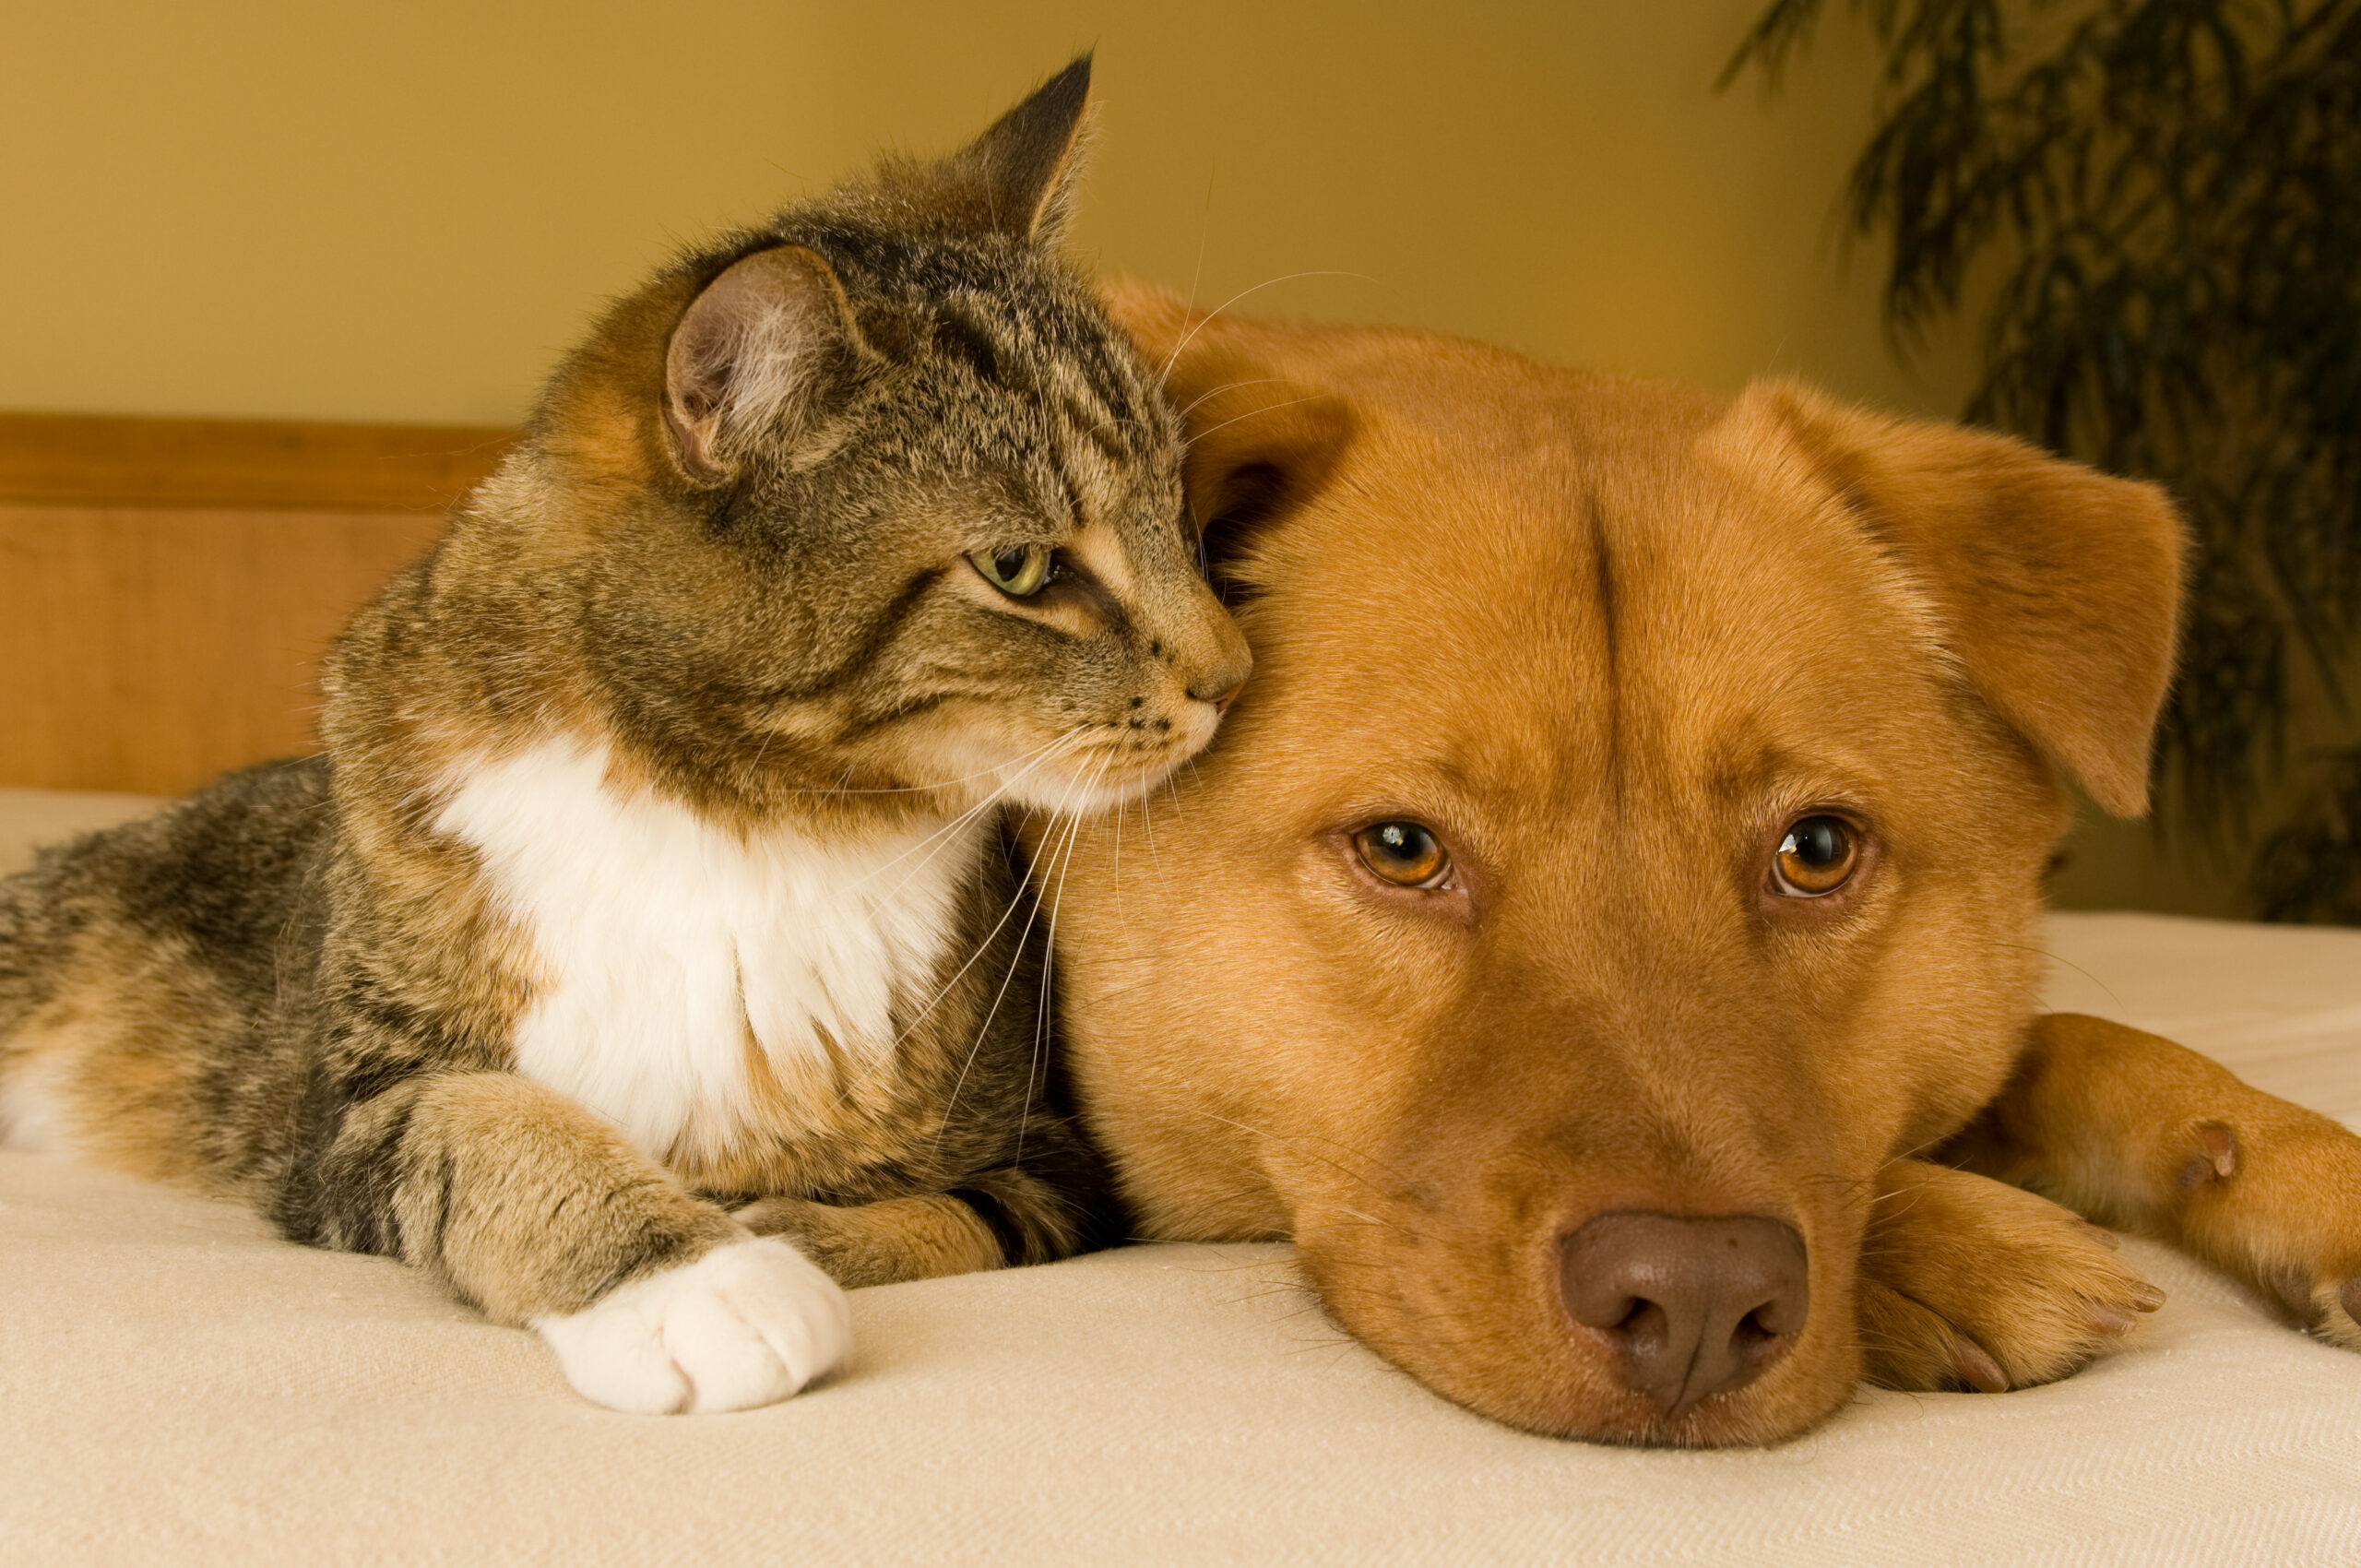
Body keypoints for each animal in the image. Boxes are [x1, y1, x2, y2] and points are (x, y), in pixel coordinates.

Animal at [0, 58, 1255, 1417]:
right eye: (1020, 567)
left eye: (1183, 519)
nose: (1235, 676)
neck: (731, 810)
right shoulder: (349, 1109)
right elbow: (491, 1125)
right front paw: (695, 1278)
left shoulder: (1058, 1159)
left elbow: (955, 1213)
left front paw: (786, 1228)